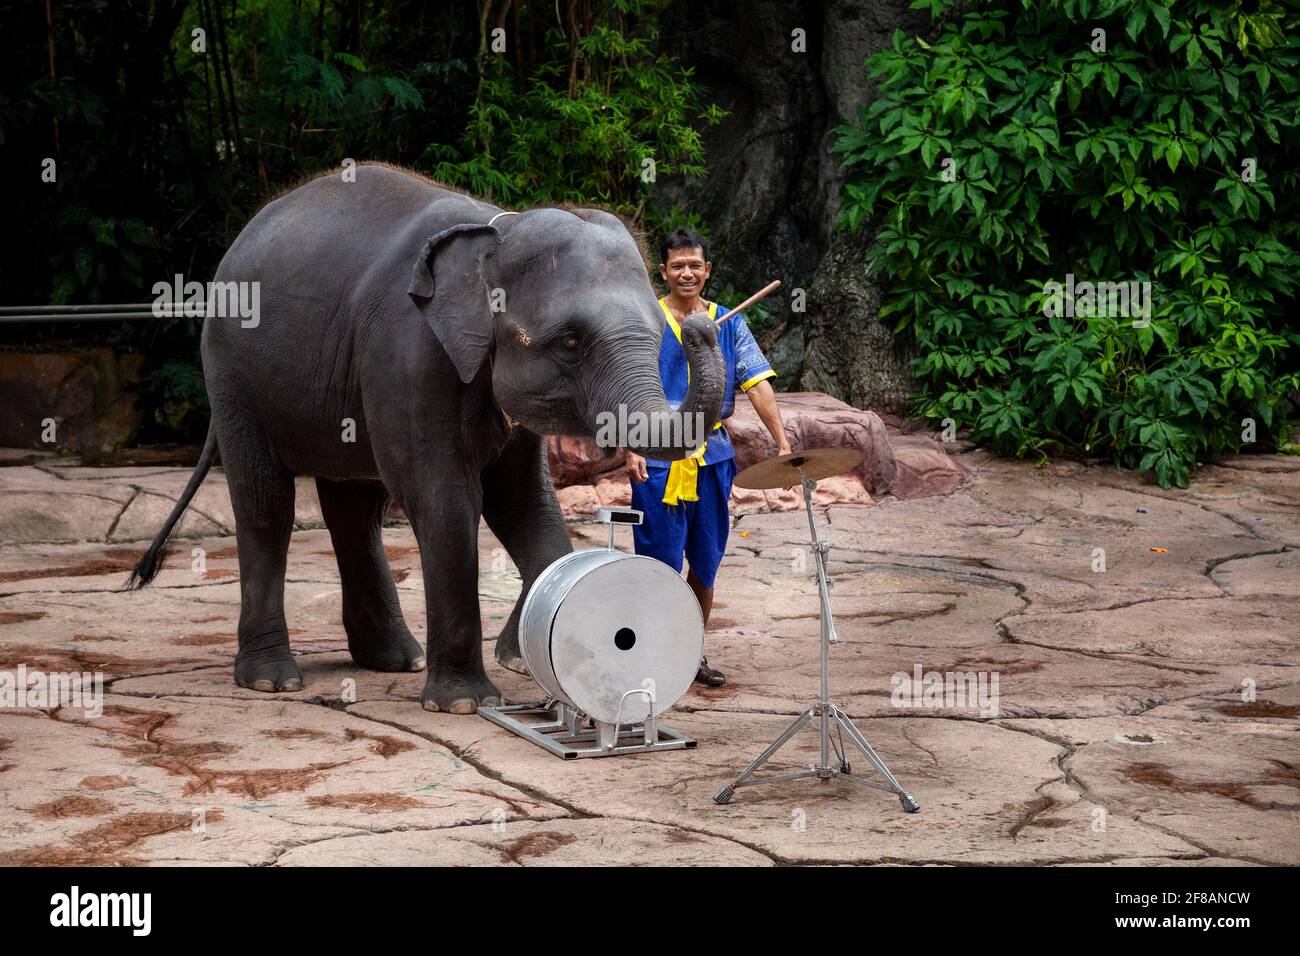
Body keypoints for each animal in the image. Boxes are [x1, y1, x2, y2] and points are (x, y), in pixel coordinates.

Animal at [126, 162, 726, 714]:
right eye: (571, 341)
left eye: (662, 334)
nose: (701, 328)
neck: (495, 230)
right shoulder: (407, 351)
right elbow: (445, 500)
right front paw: (465, 703)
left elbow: (524, 502)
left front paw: (524, 657)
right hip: (233, 375)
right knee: (266, 503)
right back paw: (272, 680)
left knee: (354, 507)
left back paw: (394, 659)